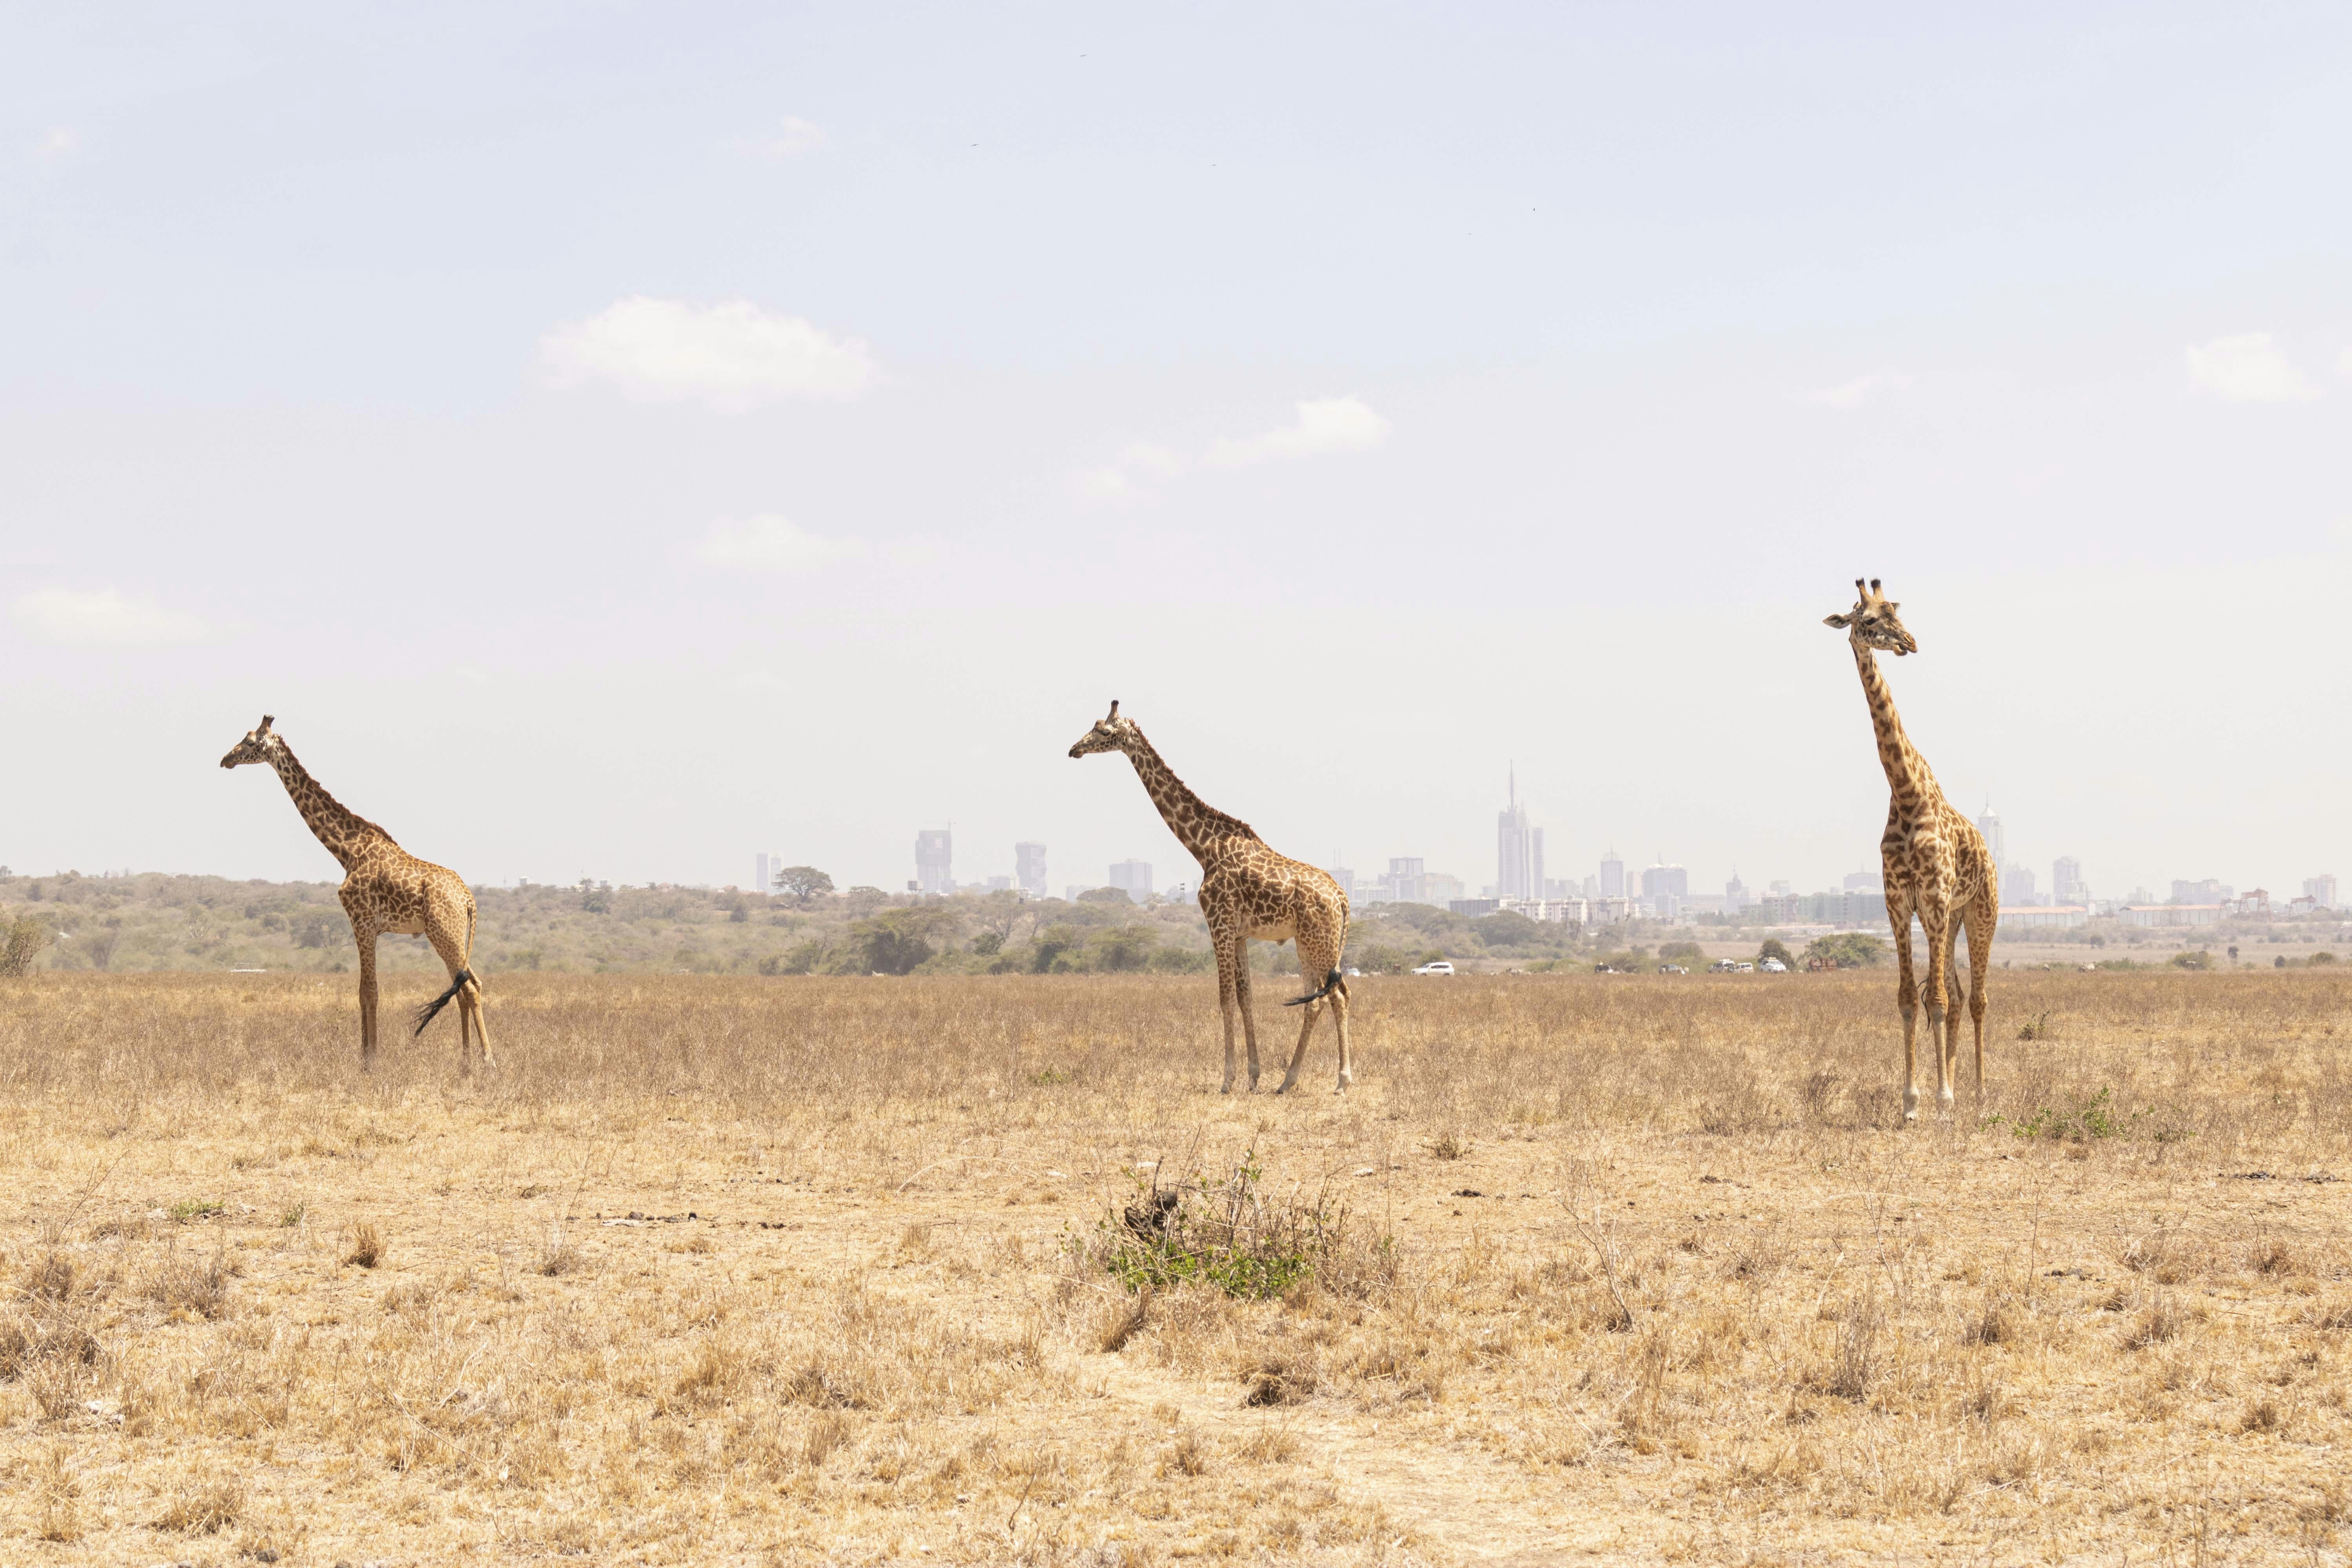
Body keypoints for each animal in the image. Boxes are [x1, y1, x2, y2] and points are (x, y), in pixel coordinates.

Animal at [219, 716, 490, 1072]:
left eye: (250, 743)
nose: (226, 760)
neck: (347, 850)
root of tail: (469, 900)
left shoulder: (363, 921)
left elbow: (370, 992)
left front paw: (371, 1060)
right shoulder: (364, 926)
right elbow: (362, 991)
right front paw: (364, 1056)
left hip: (444, 932)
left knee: (469, 987)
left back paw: (488, 1061)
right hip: (452, 934)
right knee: (465, 987)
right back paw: (466, 1060)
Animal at [1069, 702, 1355, 1095]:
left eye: (1104, 732)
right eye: (1094, 726)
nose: (1074, 749)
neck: (1203, 847)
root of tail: (1342, 899)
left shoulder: (1218, 925)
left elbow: (1225, 1000)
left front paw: (1227, 1080)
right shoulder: (1239, 934)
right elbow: (1246, 998)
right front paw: (1253, 1076)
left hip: (1317, 941)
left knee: (1334, 996)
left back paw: (1339, 1082)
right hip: (1310, 942)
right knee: (1324, 998)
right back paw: (1289, 1082)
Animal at [1824, 581, 1997, 1123]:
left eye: (1895, 612)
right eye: (1868, 620)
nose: (1910, 642)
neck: (1904, 792)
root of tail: (1989, 851)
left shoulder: (1936, 897)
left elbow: (1935, 1000)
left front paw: (1942, 1102)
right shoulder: (1900, 902)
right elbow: (1907, 998)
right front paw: (1912, 1102)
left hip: (1980, 912)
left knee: (1977, 998)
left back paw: (1978, 1096)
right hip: (1952, 917)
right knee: (1960, 995)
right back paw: (1960, 1087)